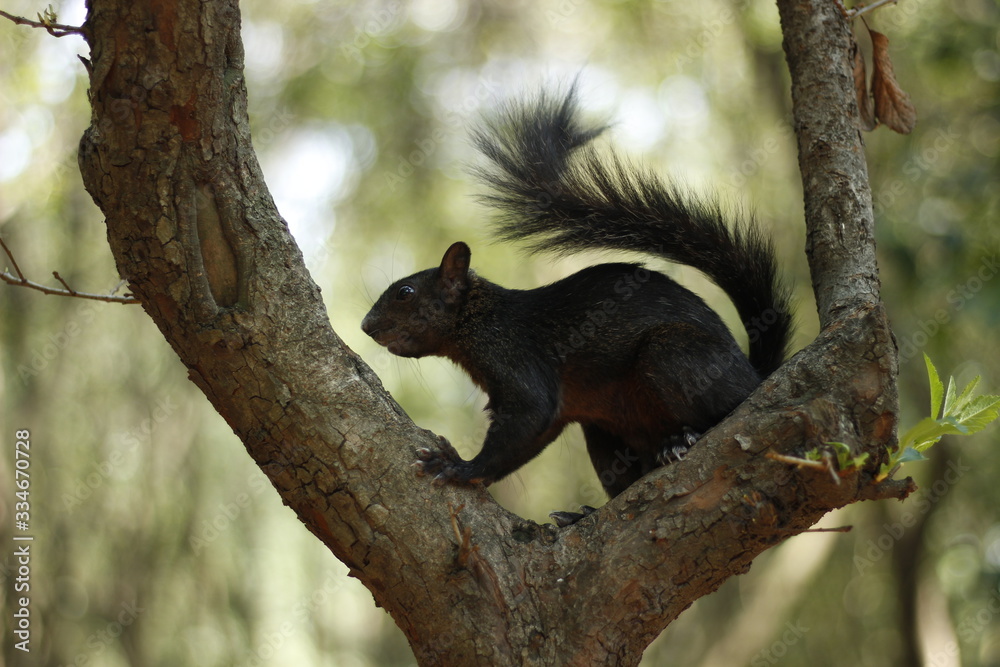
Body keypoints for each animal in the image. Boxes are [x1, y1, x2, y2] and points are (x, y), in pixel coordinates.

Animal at [361, 86, 793, 524]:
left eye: (405, 293)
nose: (366, 326)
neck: (479, 318)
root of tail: (753, 372)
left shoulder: (516, 359)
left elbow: (531, 415)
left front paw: (458, 468)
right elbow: (533, 437)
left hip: (674, 352)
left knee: (724, 409)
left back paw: (684, 439)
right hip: (603, 431)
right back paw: (584, 513)